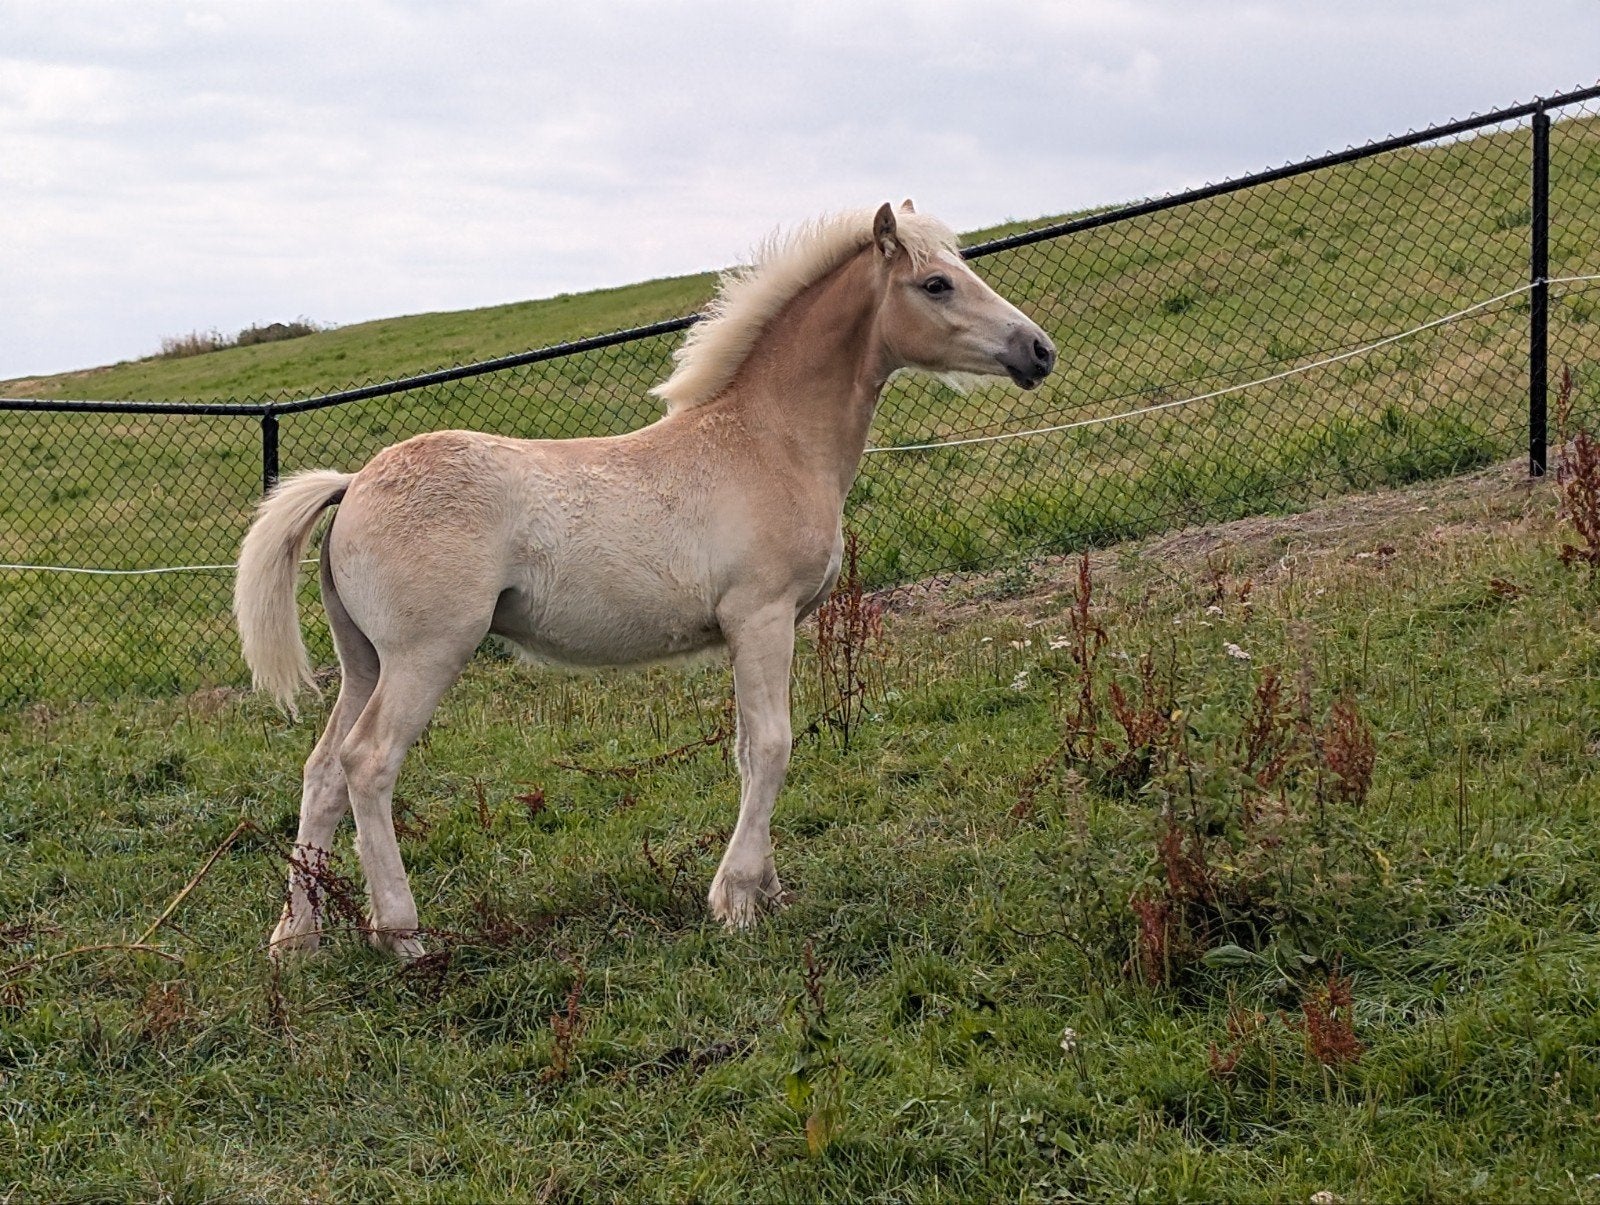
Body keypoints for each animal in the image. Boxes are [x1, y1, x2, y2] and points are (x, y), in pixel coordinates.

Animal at [235, 201, 1056, 959]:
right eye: (936, 283)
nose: (1039, 350)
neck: (769, 441)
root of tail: (354, 485)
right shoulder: (761, 618)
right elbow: (773, 745)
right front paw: (736, 899)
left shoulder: (757, 631)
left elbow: (745, 750)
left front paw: (767, 890)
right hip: (425, 654)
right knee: (368, 763)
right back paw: (403, 936)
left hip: (364, 662)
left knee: (322, 771)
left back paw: (295, 937)